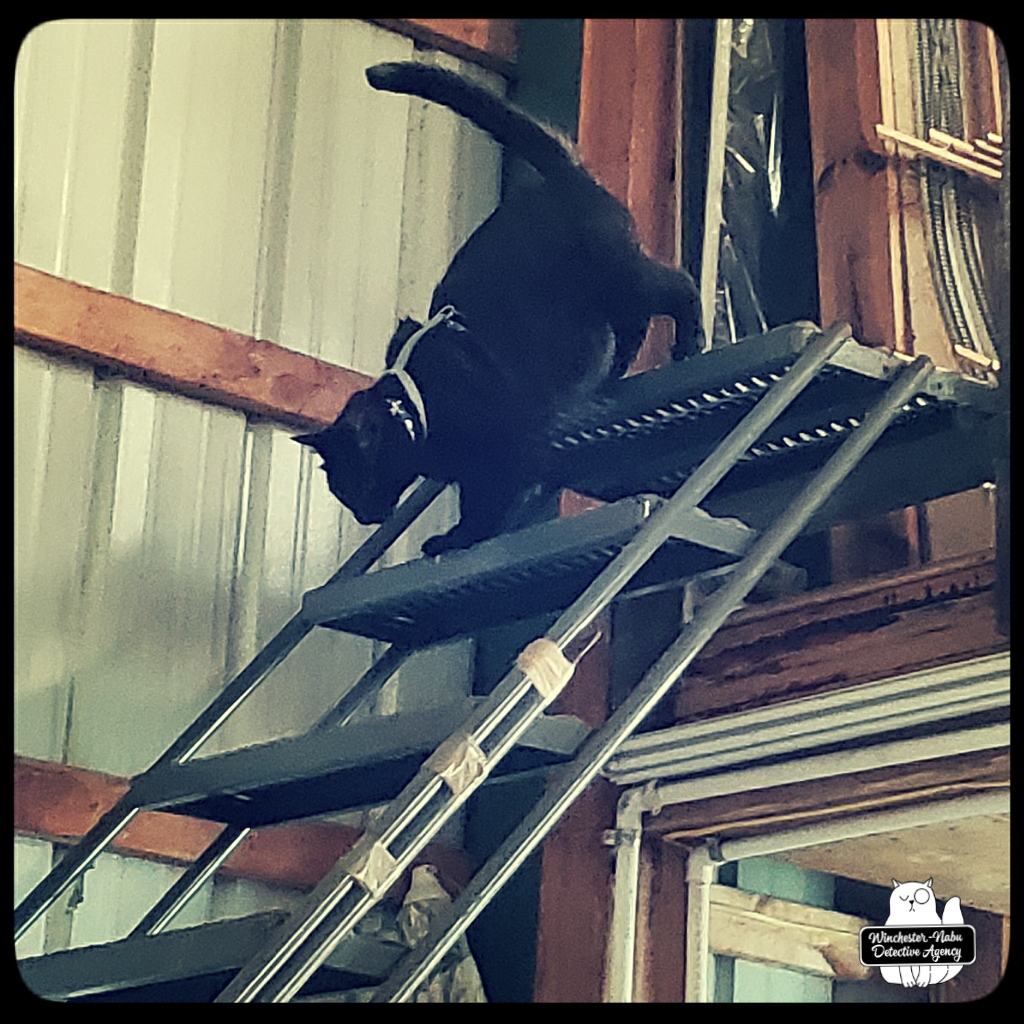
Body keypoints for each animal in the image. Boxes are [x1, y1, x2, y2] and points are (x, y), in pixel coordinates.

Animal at [296, 61, 701, 557]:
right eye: (342, 490)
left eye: (355, 482)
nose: (362, 516)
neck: (418, 401)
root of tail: (566, 176)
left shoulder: (504, 453)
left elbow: (488, 506)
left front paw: (459, 539)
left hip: (623, 279)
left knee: (679, 286)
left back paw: (690, 343)